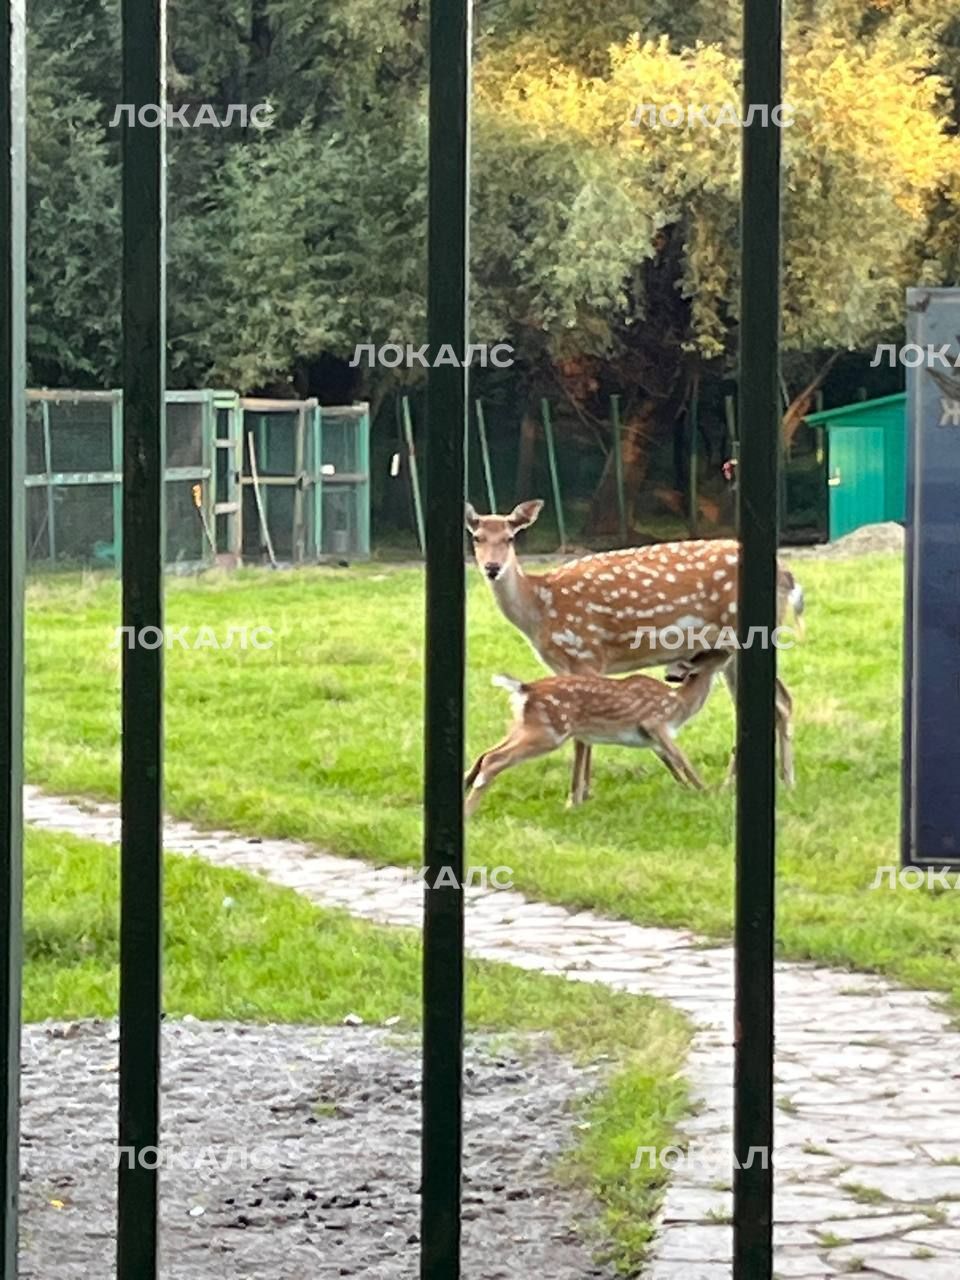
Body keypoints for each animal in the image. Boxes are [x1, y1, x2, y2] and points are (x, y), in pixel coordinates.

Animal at [463, 645, 727, 814]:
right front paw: (709, 792)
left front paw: (692, 792)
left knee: (485, 753)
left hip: (522, 726)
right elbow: (683, 759)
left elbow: (674, 765)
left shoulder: (653, 740)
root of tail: (524, 689)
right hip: (549, 732)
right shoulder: (655, 722)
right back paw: (469, 813)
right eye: (707, 654)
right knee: (494, 759)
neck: (680, 704)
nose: (728, 650)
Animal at [465, 496, 803, 798]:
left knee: (780, 703)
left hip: (746, 637)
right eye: (477, 537)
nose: (492, 567)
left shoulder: (587, 653)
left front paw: (578, 795)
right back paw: (764, 782)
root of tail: (788, 575)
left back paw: (775, 783)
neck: (539, 610)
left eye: (510, 538)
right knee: (778, 702)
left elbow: (582, 735)